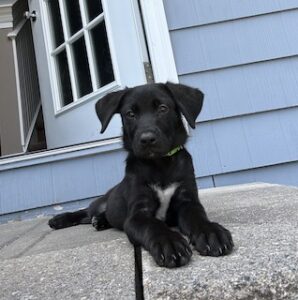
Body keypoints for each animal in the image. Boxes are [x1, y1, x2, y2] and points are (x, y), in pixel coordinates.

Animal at [49, 81, 234, 268]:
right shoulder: (137, 215)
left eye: (162, 108)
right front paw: (169, 242)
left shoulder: (187, 202)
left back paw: (100, 221)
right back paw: (60, 219)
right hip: (101, 202)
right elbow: (153, 226)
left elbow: (198, 218)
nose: (147, 139)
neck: (160, 165)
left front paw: (210, 232)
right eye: (130, 114)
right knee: (85, 211)